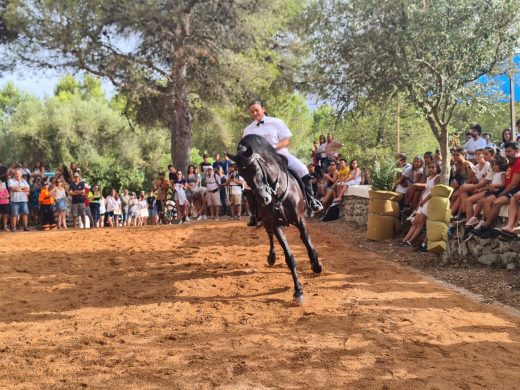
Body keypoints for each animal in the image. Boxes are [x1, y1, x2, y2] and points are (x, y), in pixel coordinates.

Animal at [226, 134, 320, 304]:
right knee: (269, 235)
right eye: (242, 175)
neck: (277, 191)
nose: (264, 198)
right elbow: (289, 257)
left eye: (256, 168)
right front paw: (298, 291)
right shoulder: (276, 225)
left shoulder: (300, 220)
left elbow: (308, 244)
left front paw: (316, 265)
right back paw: (271, 256)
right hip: (267, 222)